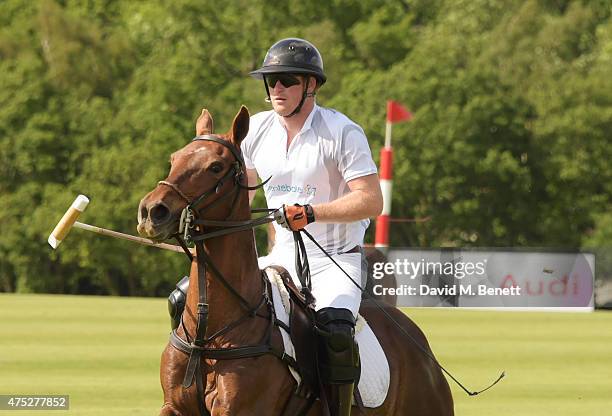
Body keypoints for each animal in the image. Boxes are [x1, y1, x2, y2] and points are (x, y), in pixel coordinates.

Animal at [140, 105, 454, 414]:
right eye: (174, 159)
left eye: (215, 167)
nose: (152, 212)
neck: (210, 338)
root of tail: (422, 347)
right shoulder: (174, 406)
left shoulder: (243, 410)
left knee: (337, 334)